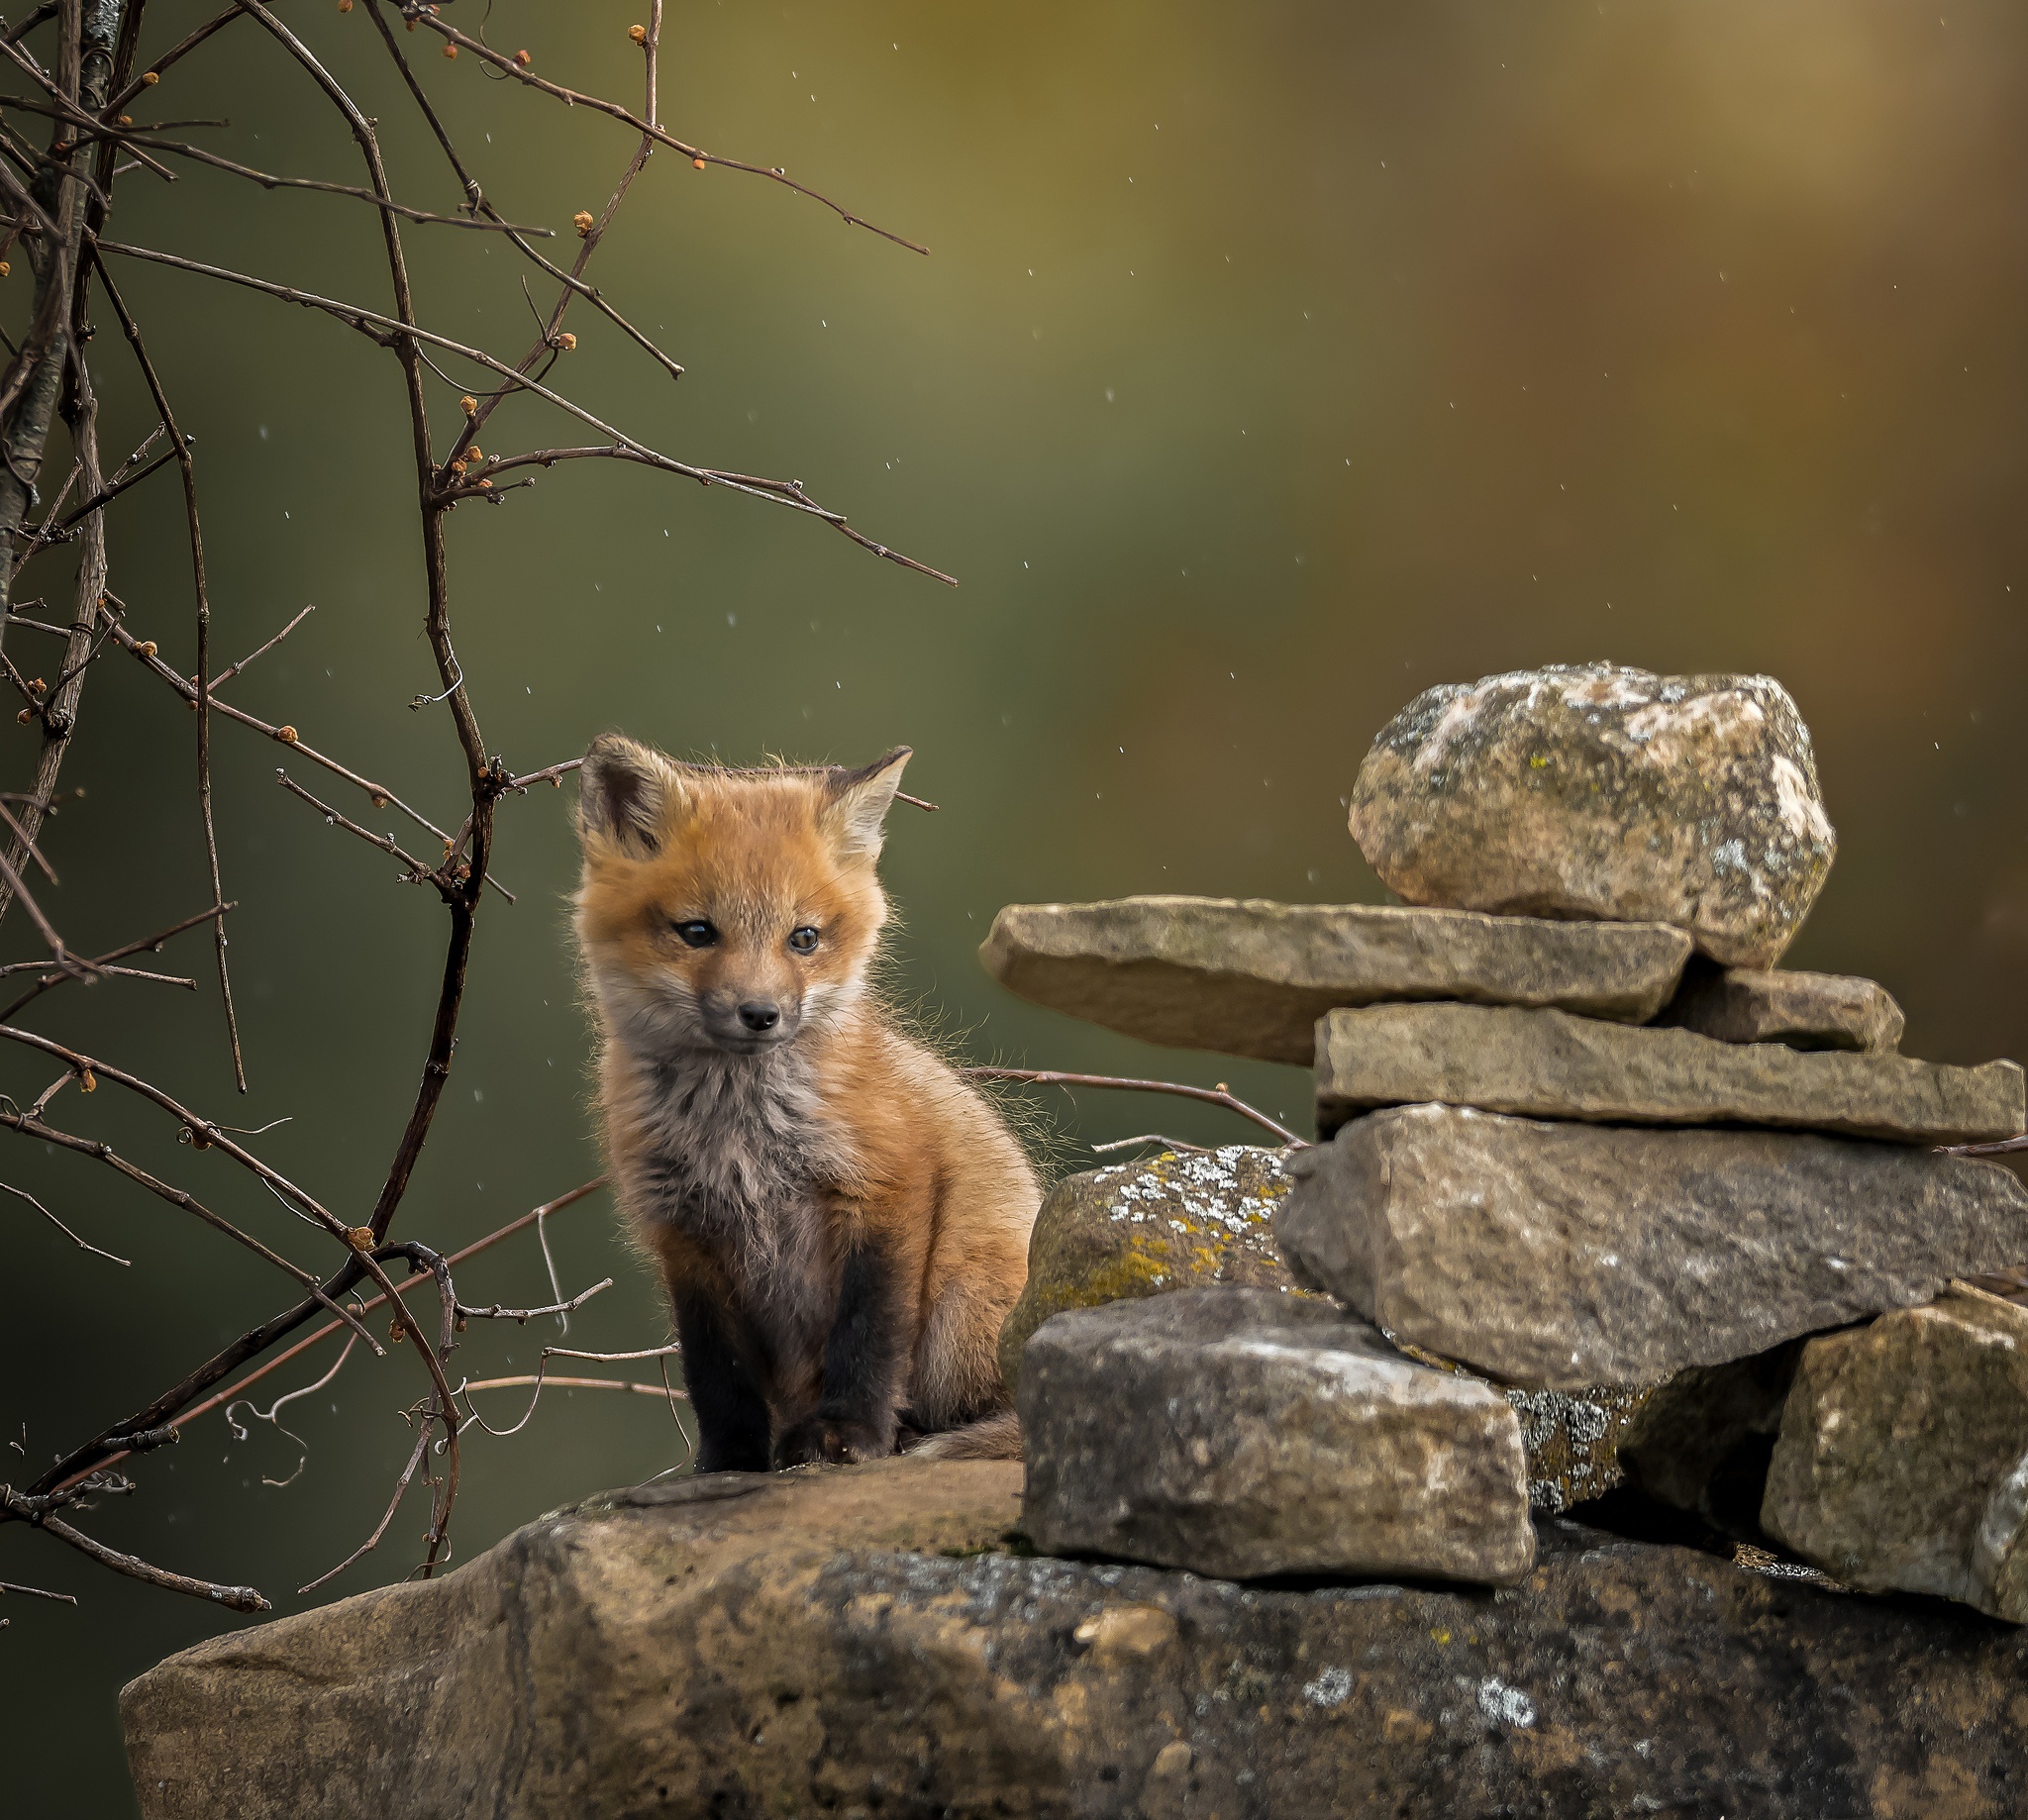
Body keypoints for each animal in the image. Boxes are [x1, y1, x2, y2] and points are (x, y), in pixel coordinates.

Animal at [579, 730, 1038, 1468]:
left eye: (804, 938)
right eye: (697, 932)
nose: (760, 1014)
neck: (738, 1136)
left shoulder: (884, 1185)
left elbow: (868, 1333)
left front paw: (849, 1433)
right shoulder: (683, 1233)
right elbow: (718, 1374)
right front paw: (730, 1460)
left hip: (960, 1308)